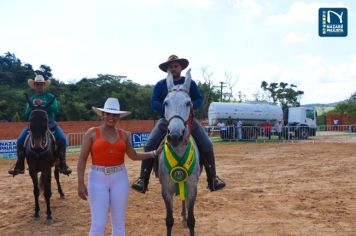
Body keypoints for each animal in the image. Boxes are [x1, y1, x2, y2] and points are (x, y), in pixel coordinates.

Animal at [24, 94, 64, 223]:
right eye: (30, 119)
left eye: (45, 120)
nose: (37, 146)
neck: (38, 152)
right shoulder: (32, 170)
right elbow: (36, 191)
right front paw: (36, 212)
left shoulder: (47, 169)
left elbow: (47, 192)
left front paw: (49, 214)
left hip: (56, 164)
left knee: (56, 177)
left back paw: (61, 193)